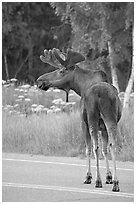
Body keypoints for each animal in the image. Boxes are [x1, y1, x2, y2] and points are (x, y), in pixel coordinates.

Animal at [36, 47, 121, 191]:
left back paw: (98, 181)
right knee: (113, 145)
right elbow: (105, 149)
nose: (40, 80)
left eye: (61, 70)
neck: (81, 87)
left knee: (95, 147)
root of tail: (100, 94)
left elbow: (88, 149)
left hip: (92, 119)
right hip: (110, 119)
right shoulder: (103, 127)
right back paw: (116, 183)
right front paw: (109, 177)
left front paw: (89, 176)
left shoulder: (83, 123)